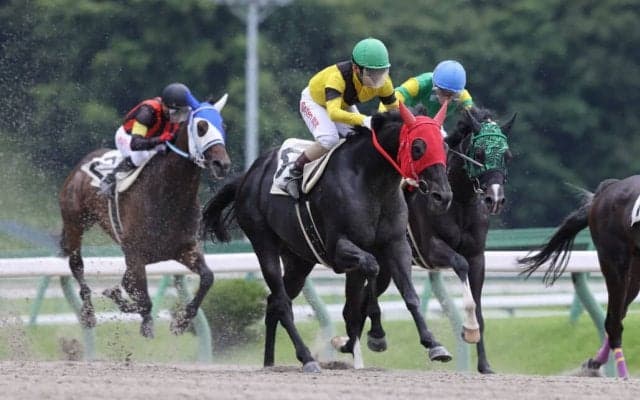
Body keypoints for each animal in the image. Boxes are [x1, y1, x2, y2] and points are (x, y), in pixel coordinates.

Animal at [58, 94, 231, 338]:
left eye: (222, 125)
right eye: (201, 127)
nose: (222, 164)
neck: (168, 196)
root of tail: (83, 162)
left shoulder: (184, 249)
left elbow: (208, 278)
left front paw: (181, 322)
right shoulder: (135, 255)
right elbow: (142, 298)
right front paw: (140, 316)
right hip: (75, 222)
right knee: (77, 264)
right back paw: (89, 313)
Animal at [202, 102, 453, 372]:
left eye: (445, 146)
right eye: (418, 147)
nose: (443, 196)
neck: (371, 180)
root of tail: (248, 176)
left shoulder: (396, 245)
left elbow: (407, 294)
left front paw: (434, 344)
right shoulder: (339, 249)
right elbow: (372, 269)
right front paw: (376, 335)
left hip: (298, 260)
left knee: (273, 303)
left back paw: (270, 362)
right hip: (263, 243)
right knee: (281, 303)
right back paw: (307, 358)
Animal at [361, 107, 515, 373]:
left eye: (507, 155)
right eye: (479, 152)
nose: (494, 199)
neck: (460, 201)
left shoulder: (478, 256)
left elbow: (479, 306)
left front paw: (484, 364)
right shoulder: (431, 249)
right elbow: (460, 264)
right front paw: (468, 329)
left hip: (386, 266)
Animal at [519, 176, 640, 379]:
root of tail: (609, 188)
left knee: (619, 313)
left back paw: (595, 363)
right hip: (614, 259)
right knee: (613, 320)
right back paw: (621, 374)